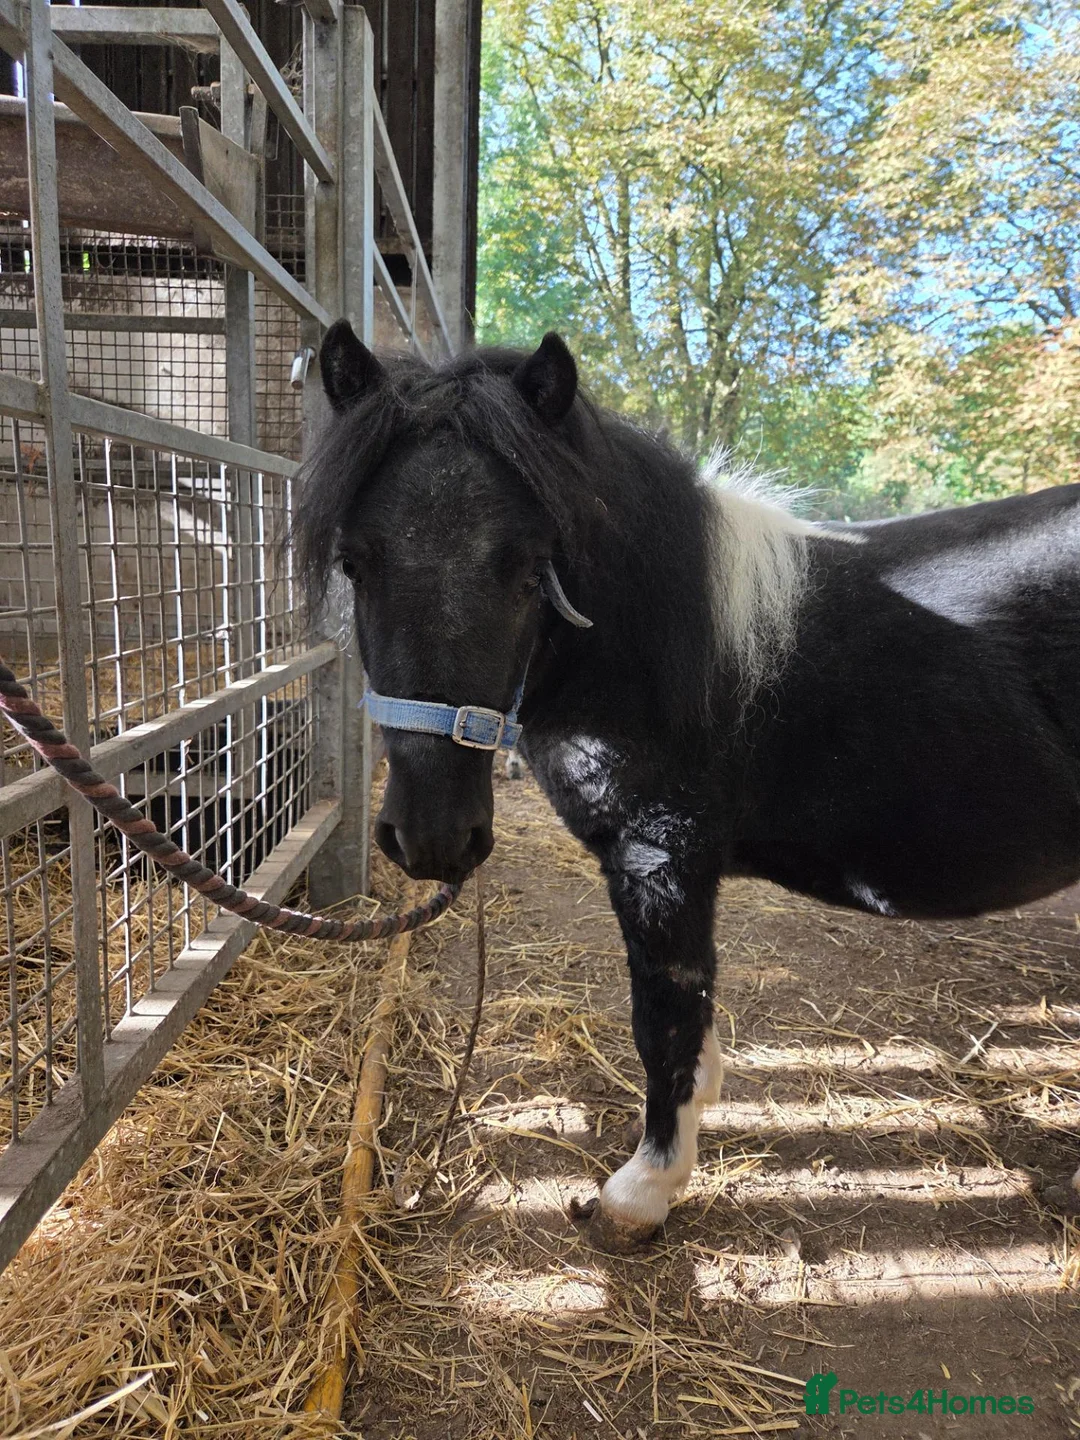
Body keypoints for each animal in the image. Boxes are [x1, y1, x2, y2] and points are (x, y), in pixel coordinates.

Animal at [295, 321, 1080, 1252]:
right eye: (355, 562)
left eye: (531, 568)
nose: (432, 838)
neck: (662, 647)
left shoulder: (660, 862)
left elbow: (663, 1021)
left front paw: (642, 1190)